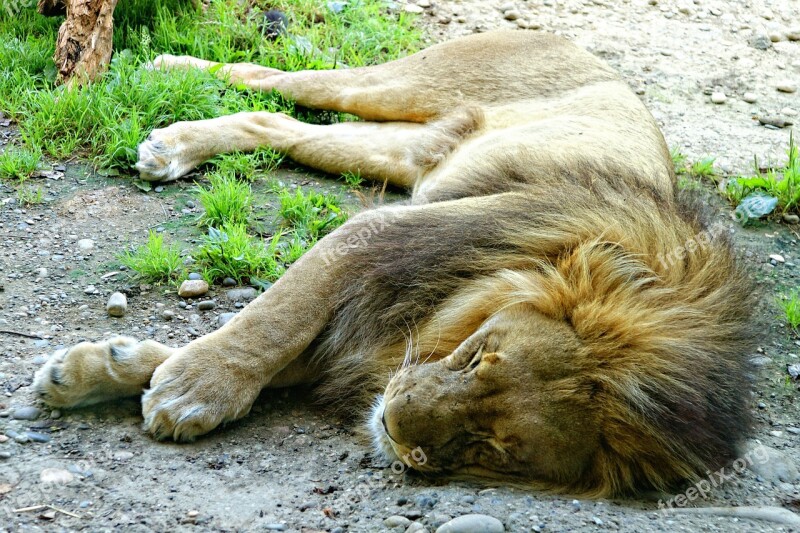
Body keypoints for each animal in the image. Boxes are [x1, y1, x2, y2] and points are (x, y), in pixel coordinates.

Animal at [32, 31, 756, 496]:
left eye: (496, 447)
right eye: (478, 356)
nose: (395, 424)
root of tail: (582, 44)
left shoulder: (378, 332)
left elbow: (285, 347)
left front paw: (97, 370)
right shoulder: (385, 234)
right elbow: (276, 315)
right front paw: (193, 387)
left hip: (403, 152)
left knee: (277, 123)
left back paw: (176, 144)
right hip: (403, 85)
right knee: (280, 79)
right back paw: (167, 68)